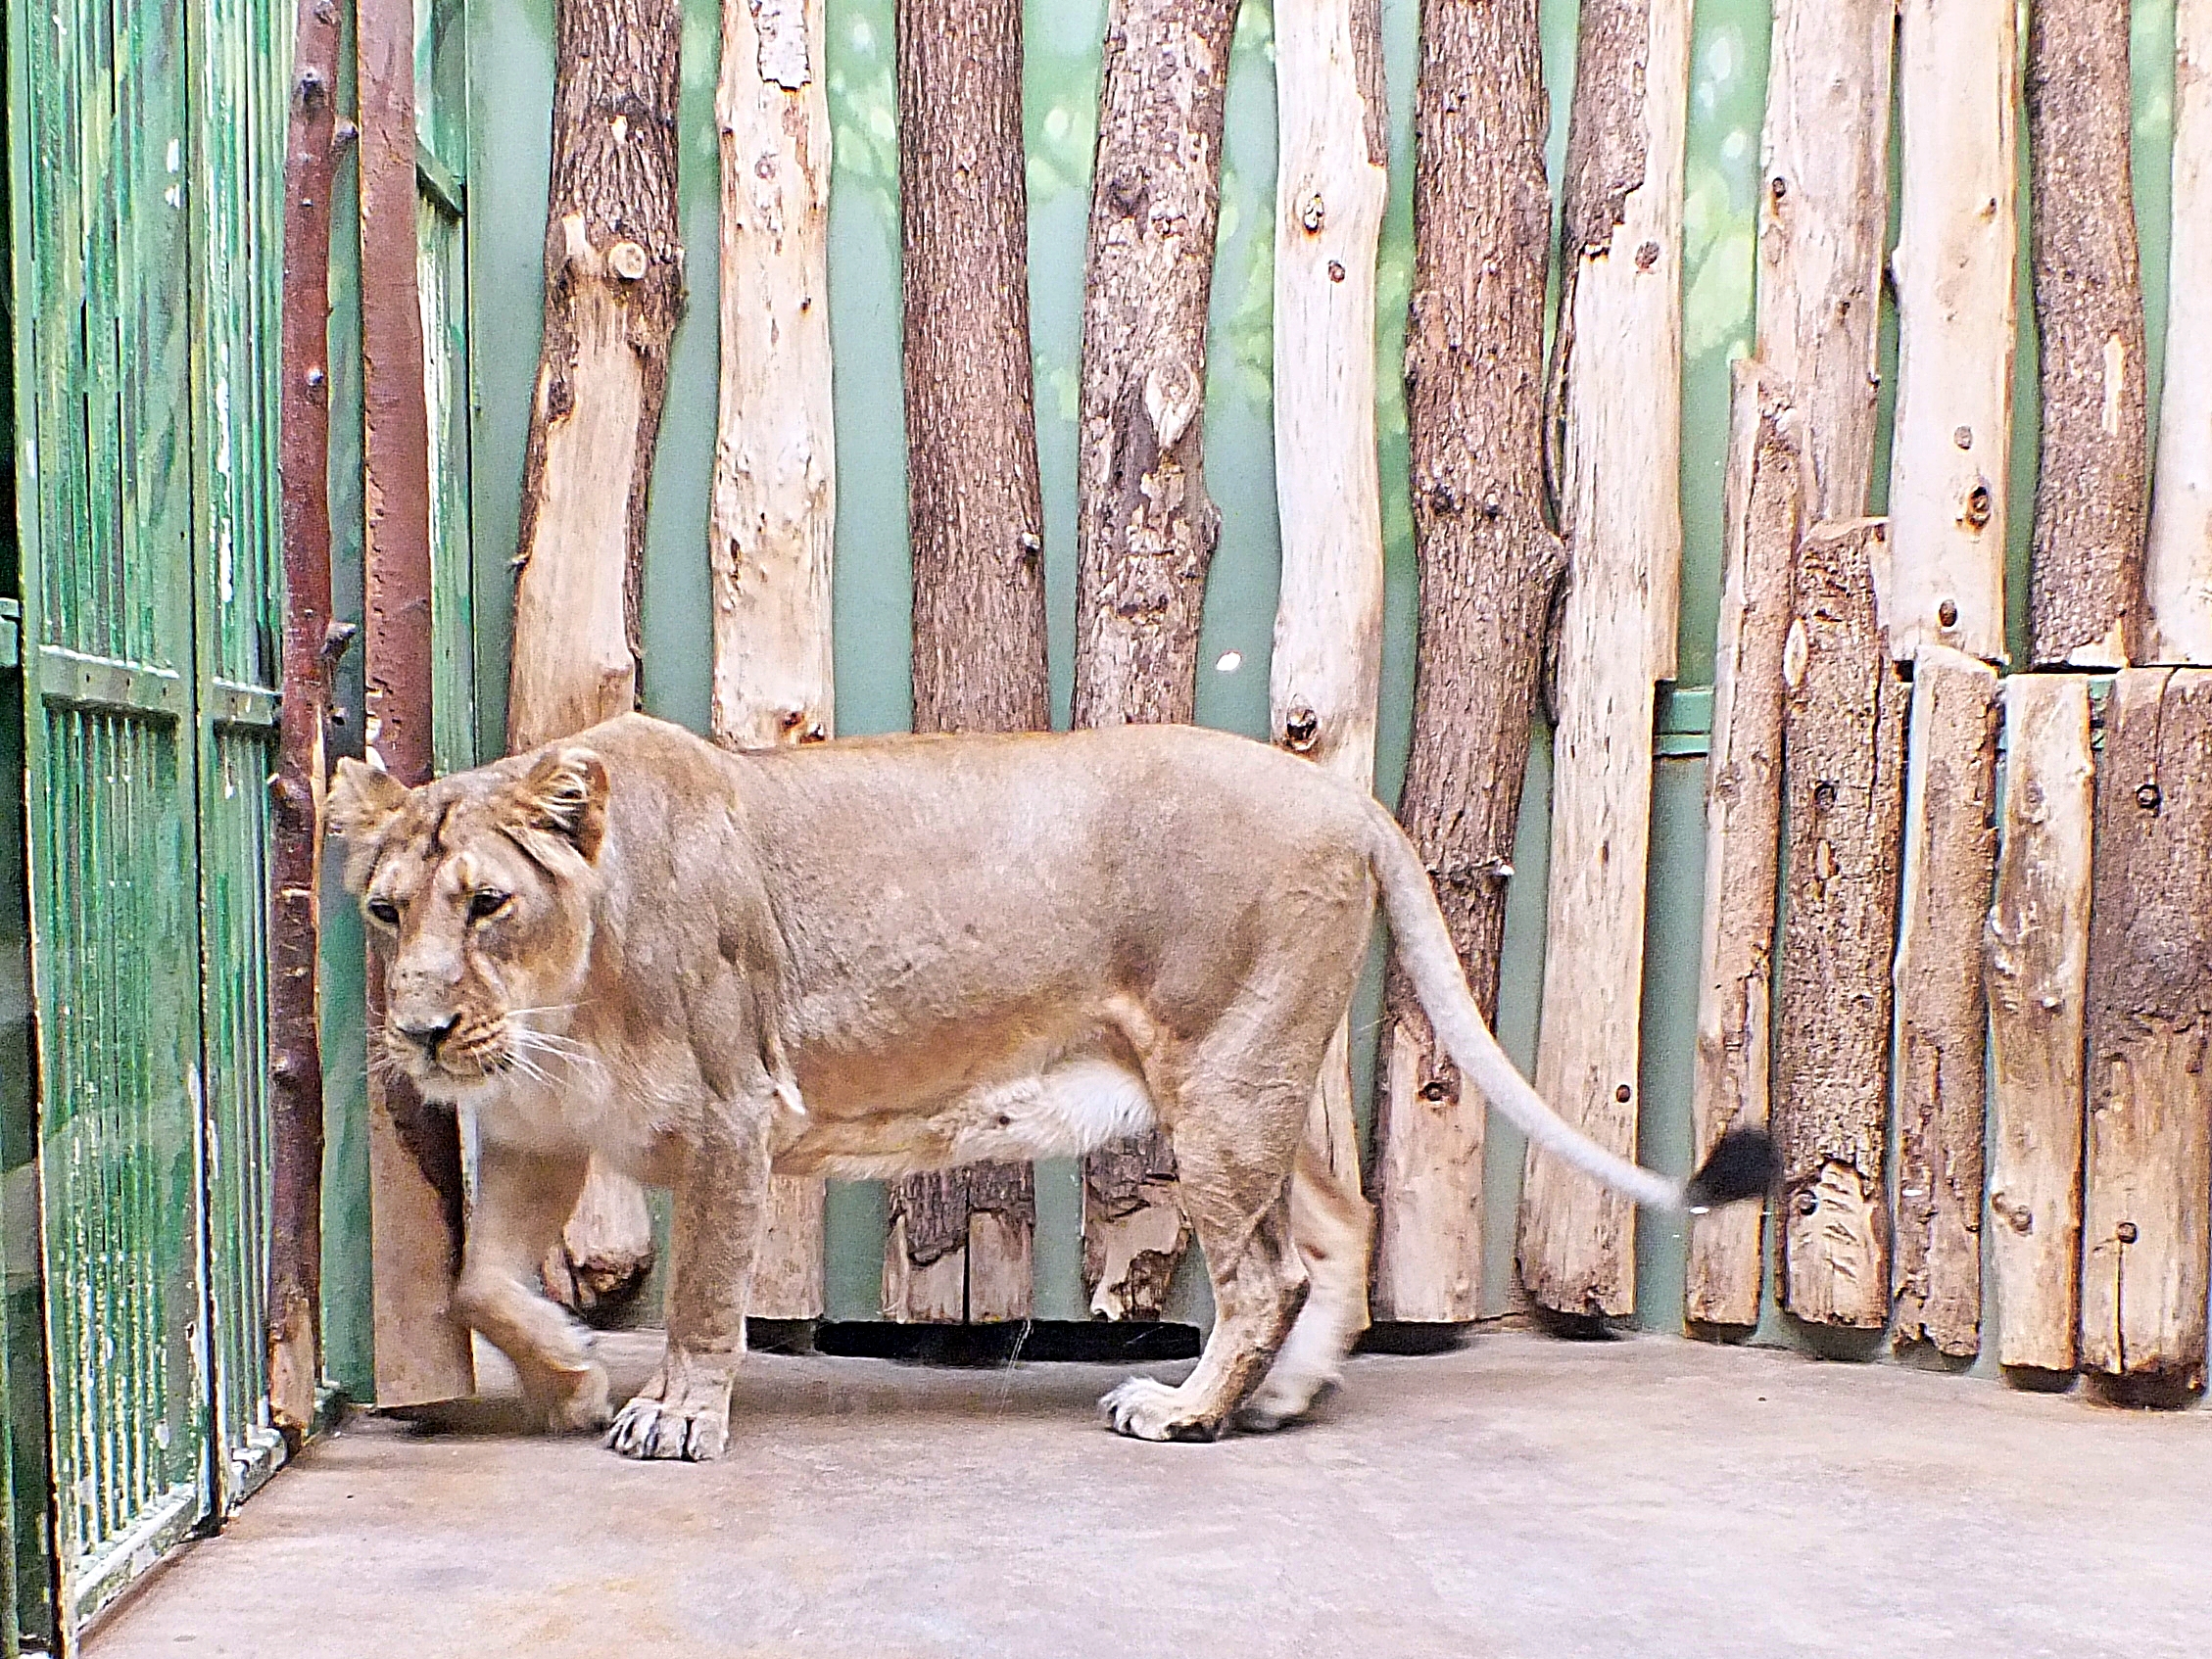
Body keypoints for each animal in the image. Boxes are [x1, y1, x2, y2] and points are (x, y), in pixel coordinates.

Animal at [329, 712, 1774, 1460]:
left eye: (488, 903)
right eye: (387, 909)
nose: (421, 1030)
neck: (559, 1005)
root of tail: (1342, 795)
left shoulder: (740, 1112)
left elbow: (698, 1298)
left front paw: (673, 1417)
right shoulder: (532, 1128)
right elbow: (477, 1285)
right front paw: (573, 1376)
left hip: (1218, 1086)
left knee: (1267, 1272)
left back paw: (1187, 1410)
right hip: (1255, 1082)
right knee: (1342, 1229)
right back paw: (1281, 1397)